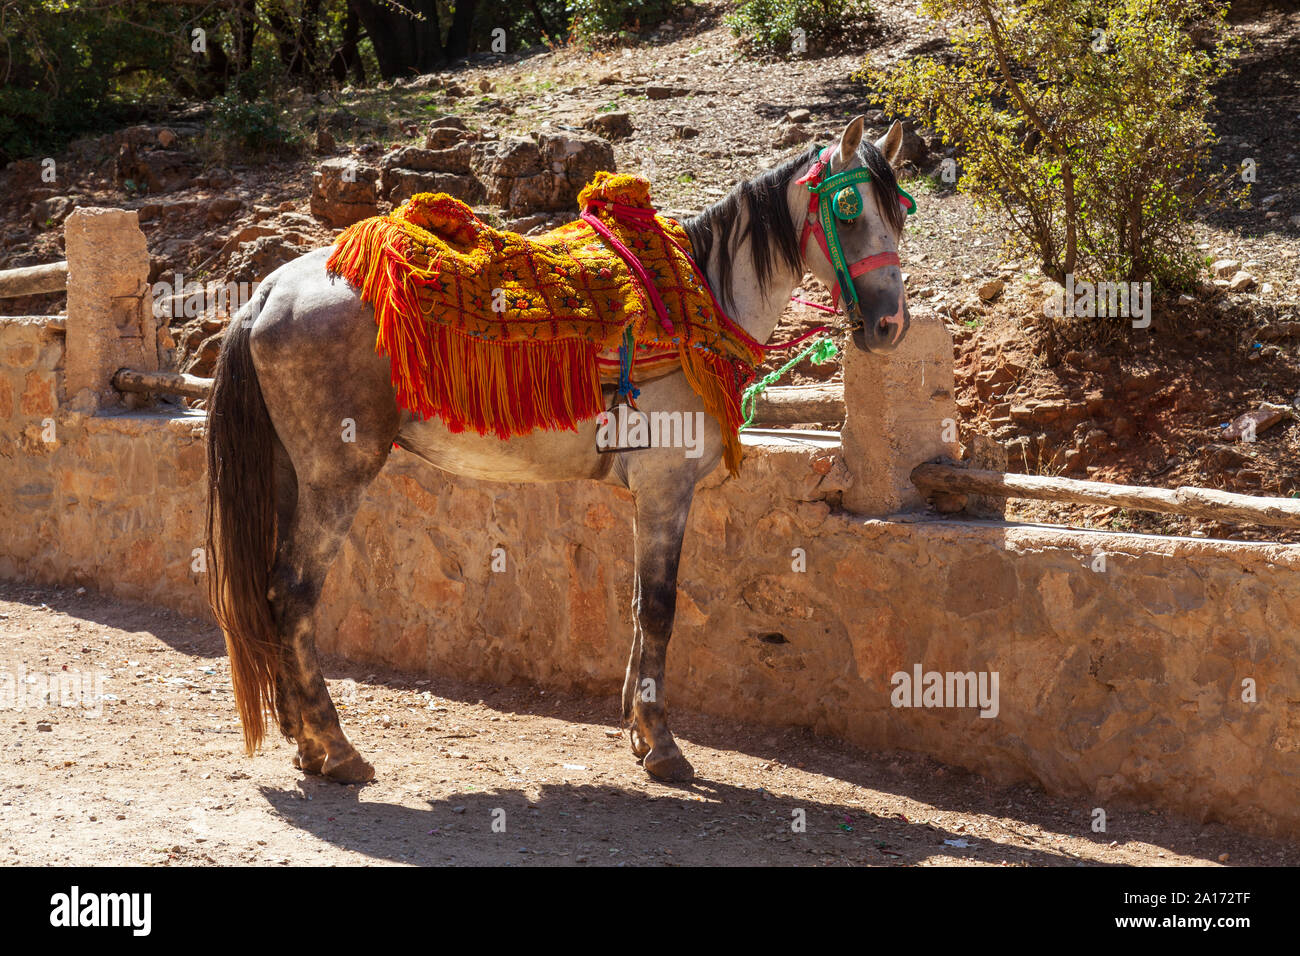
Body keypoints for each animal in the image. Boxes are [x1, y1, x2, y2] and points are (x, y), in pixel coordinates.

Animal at [208, 113, 909, 785]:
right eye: (850, 212)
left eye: (899, 212)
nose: (891, 325)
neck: (701, 297)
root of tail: (267, 292)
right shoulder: (667, 487)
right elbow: (661, 607)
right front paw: (662, 746)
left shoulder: (647, 494)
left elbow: (638, 605)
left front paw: (636, 732)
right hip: (337, 478)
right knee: (295, 593)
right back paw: (337, 748)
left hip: (293, 475)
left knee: (275, 591)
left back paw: (305, 744)